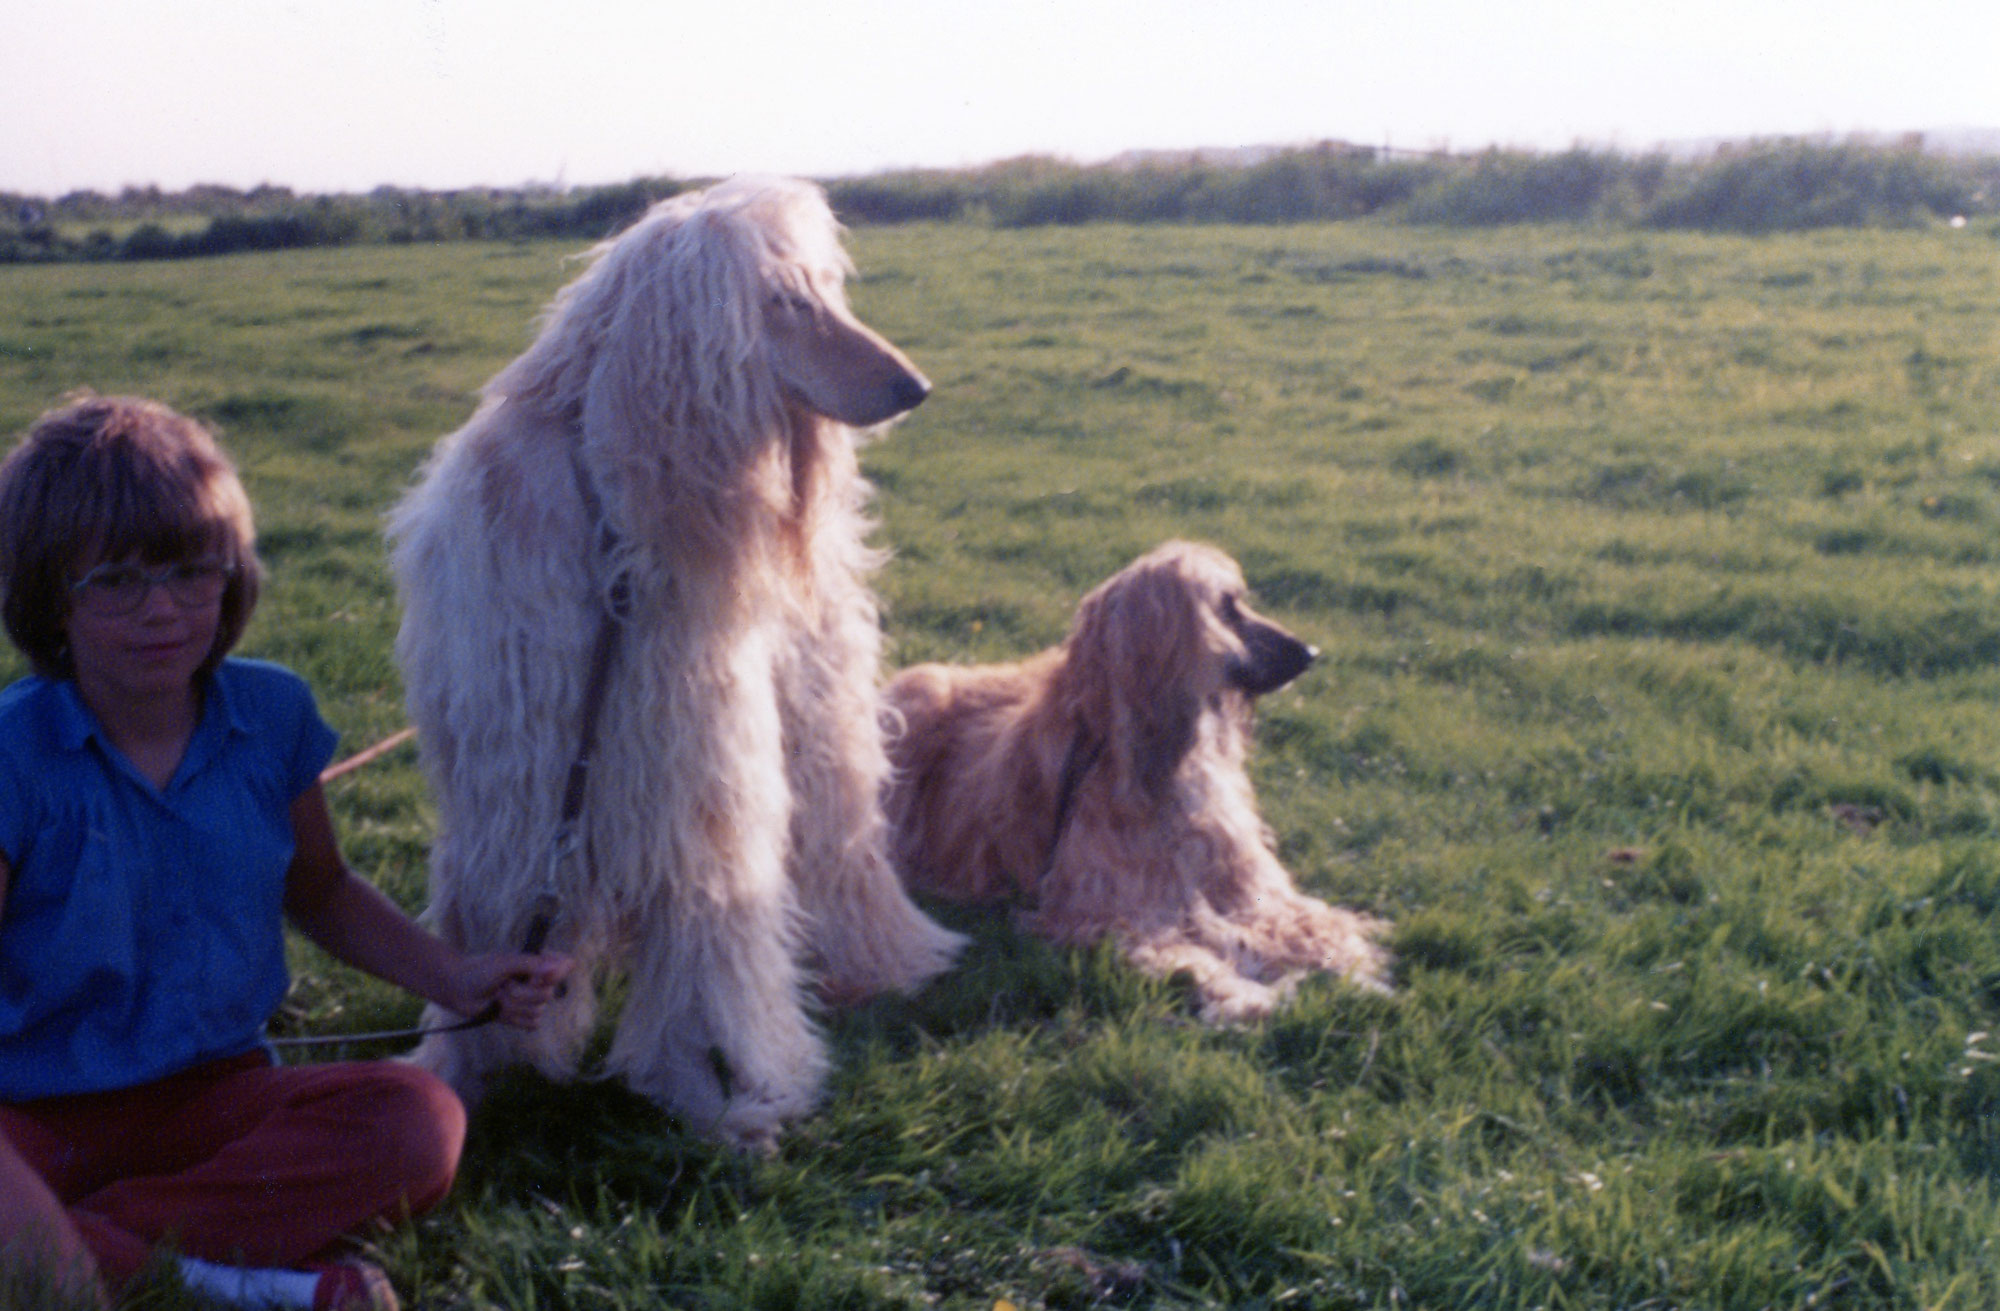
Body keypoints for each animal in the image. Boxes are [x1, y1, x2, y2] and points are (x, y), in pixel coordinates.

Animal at [892, 539, 1392, 1019]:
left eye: (1239, 602)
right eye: (1226, 608)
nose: (1311, 654)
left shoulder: (1237, 884)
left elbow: (1301, 920)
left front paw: (1349, 967)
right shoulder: (1109, 909)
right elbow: (1185, 954)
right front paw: (1243, 994)